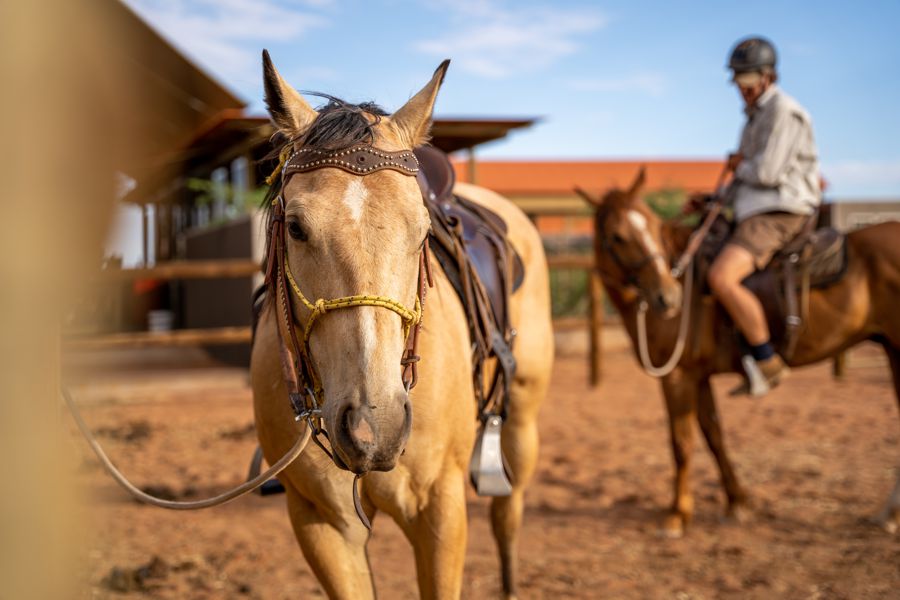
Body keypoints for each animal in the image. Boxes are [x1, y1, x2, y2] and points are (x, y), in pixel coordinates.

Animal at [250, 54, 552, 596]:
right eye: (296, 228)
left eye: (423, 230)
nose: (374, 427)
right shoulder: (321, 523)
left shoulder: (440, 512)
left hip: (521, 417)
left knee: (507, 512)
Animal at [584, 170, 900, 540]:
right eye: (617, 237)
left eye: (653, 227)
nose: (668, 297)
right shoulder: (697, 376)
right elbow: (714, 436)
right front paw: (736, 503)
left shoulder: (677, 377)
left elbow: (681, 444)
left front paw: (677, 515)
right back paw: (889, 514)